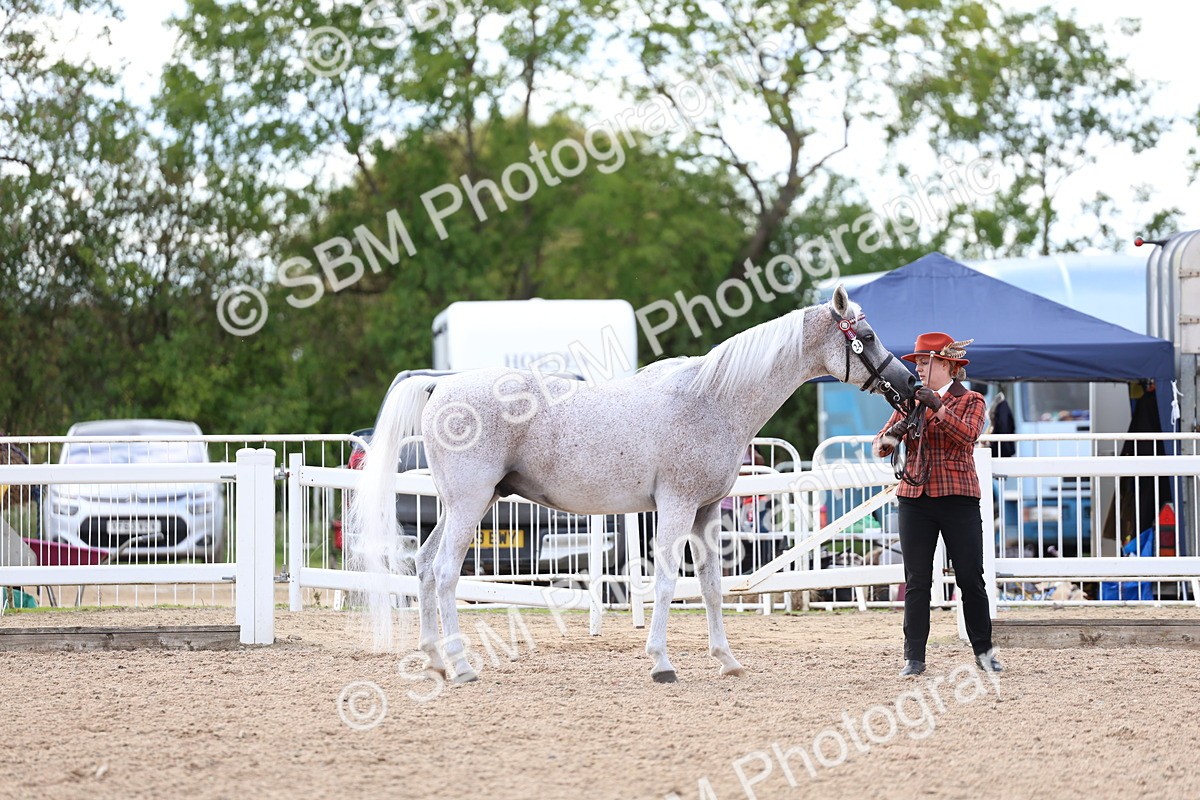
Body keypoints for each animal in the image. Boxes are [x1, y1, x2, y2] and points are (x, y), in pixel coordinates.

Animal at [348, 284, 917, 683]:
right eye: (866, 337)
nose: (909, 383)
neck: (712, 399)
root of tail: (440, 388)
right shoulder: (677, 506)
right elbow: (665, 581)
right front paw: (662, 663)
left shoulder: (705, 514)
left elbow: (711, 587)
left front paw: (727, 659)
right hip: (469, 505)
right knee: (445, 573)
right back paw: (462, 666)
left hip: (458, 505)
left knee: (424, 567)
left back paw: (435, 660)